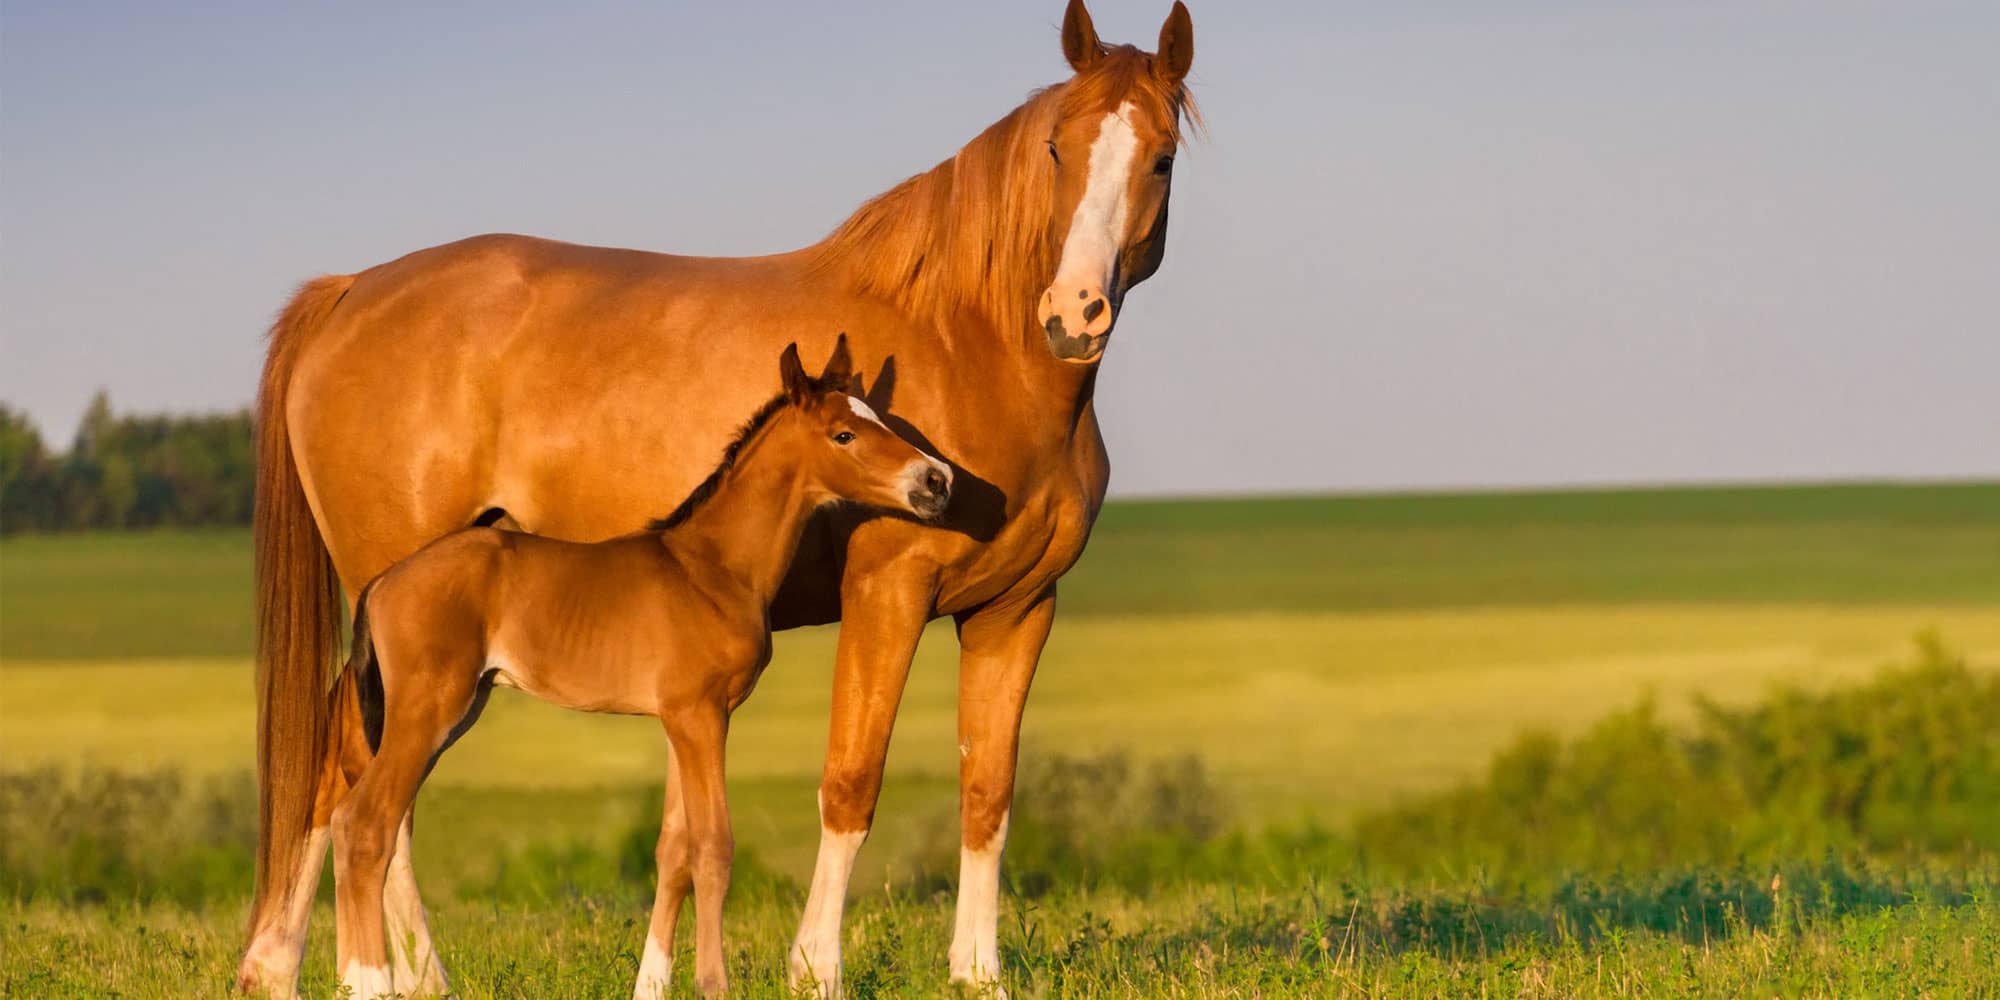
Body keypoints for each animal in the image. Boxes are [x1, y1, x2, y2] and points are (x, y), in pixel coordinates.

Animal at [319, 341, 950, 999]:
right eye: (844, 434)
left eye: (879, 419)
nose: (938, 480)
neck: (714, 568)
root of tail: (382, 582)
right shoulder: (702, 717)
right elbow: (713, 848)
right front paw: (713, 984)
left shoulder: (680, 721)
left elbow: (674, 849)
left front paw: (654, 983)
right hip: (427, 712)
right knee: (364, 824)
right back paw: (369, 983)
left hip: (454, 712)